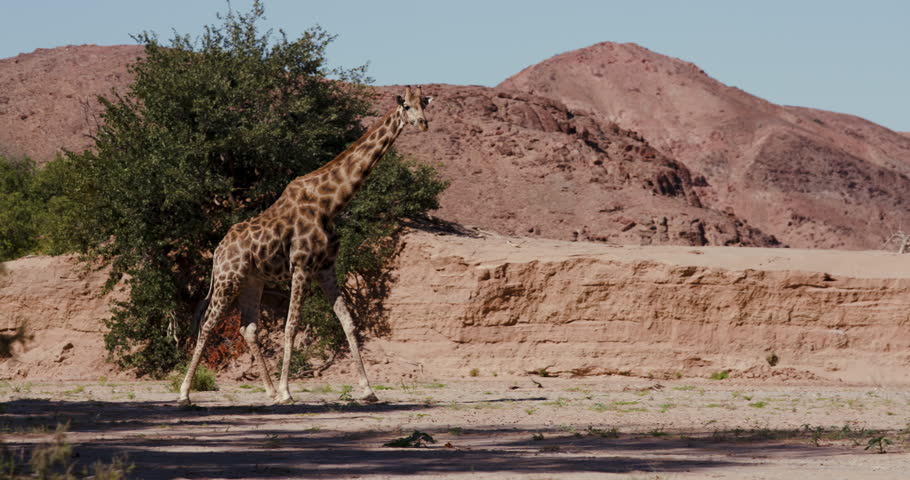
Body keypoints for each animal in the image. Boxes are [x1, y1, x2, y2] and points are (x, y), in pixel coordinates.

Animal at [178, 86, 433, 406]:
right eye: (406, 106)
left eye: (424, 104)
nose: (423, 123)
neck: (330, 204)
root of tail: (217, 251)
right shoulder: (301, 265)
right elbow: (291, 326)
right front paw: (287, 392)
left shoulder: (326, 267)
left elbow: (348, 322)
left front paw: (368, 390)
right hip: (229, 278)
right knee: (208, 324)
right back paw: (185, 393)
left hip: (252, 280)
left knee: (248, 328)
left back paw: (268, 391)